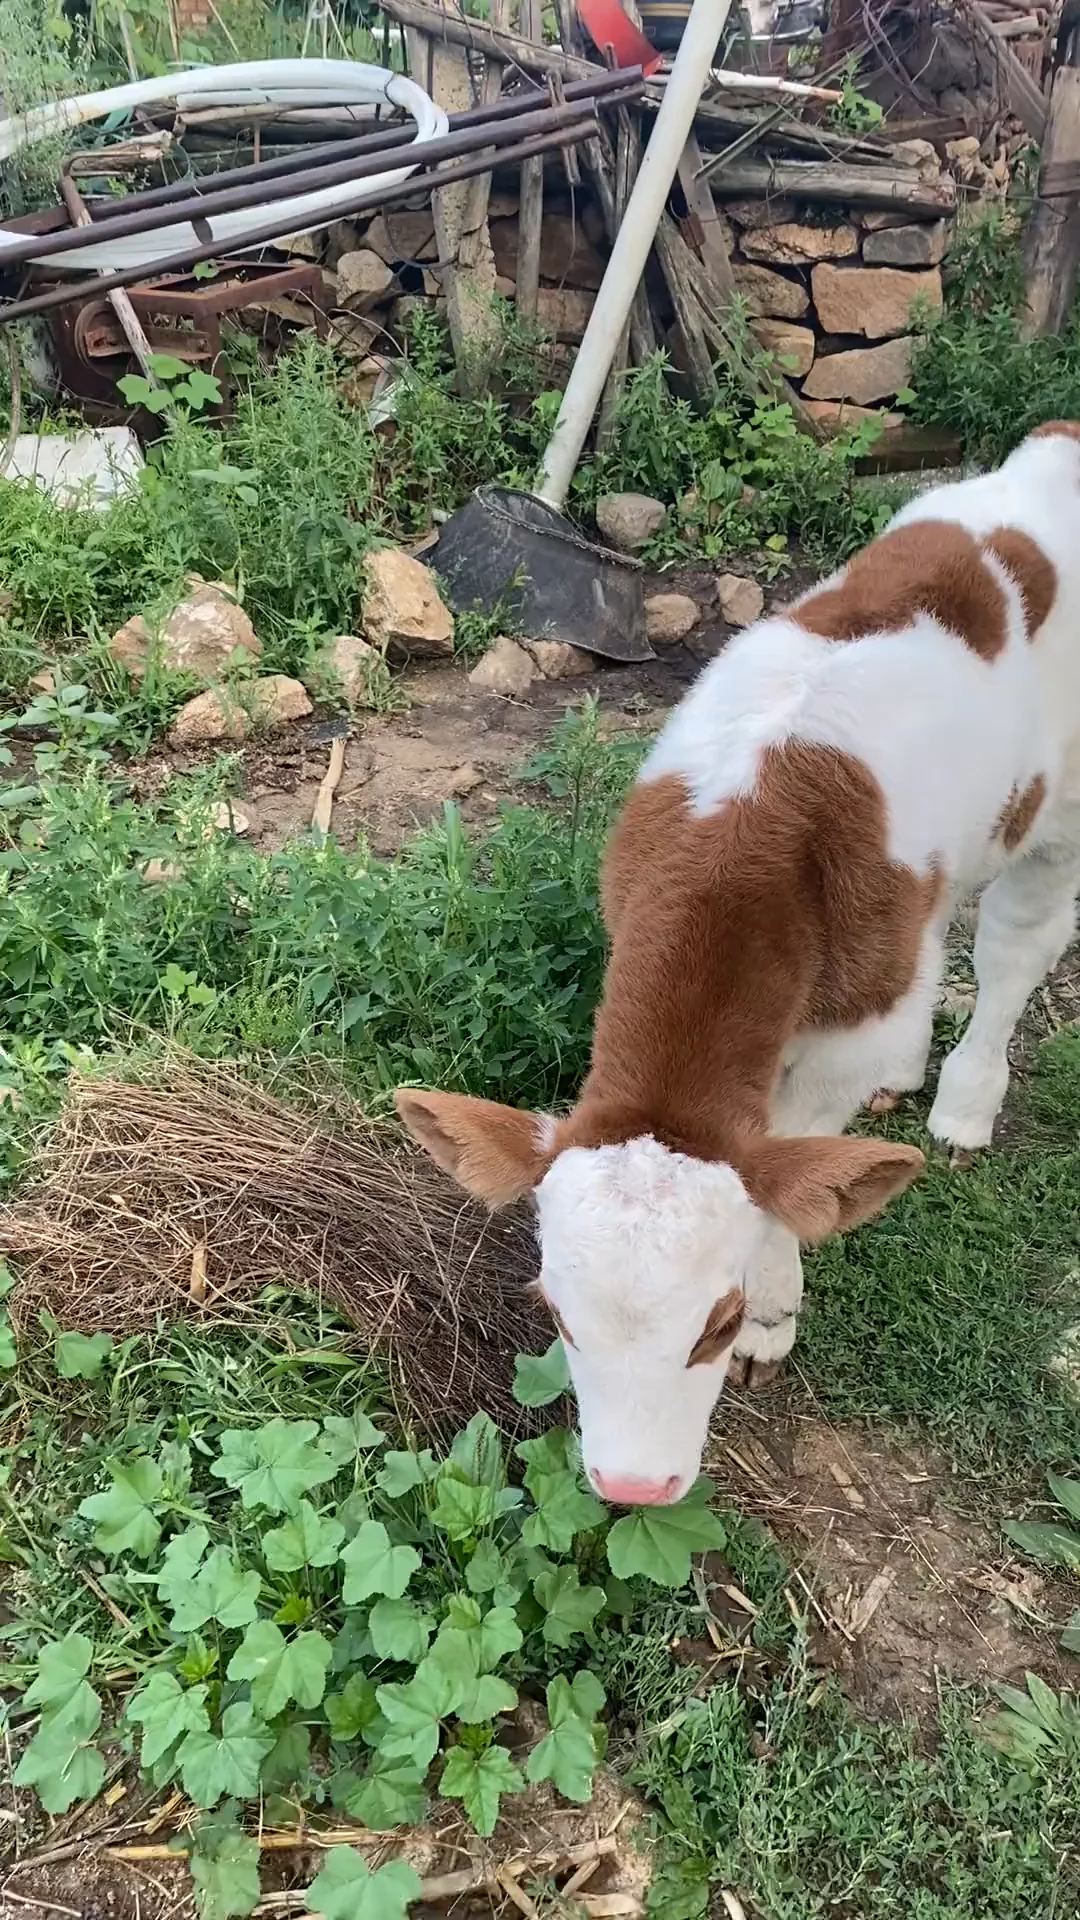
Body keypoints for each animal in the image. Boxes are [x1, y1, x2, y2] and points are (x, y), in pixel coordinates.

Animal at [397, 422, 1080, 1507]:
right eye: (556, 1313)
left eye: (712, 1327)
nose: (634, 1487)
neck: (745, 836)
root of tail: (1054, 445)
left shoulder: (845, 1023)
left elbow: (792, 1164)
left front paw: (774, 1309)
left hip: (1062, 817)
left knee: (1019, 941)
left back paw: (965, 1104)